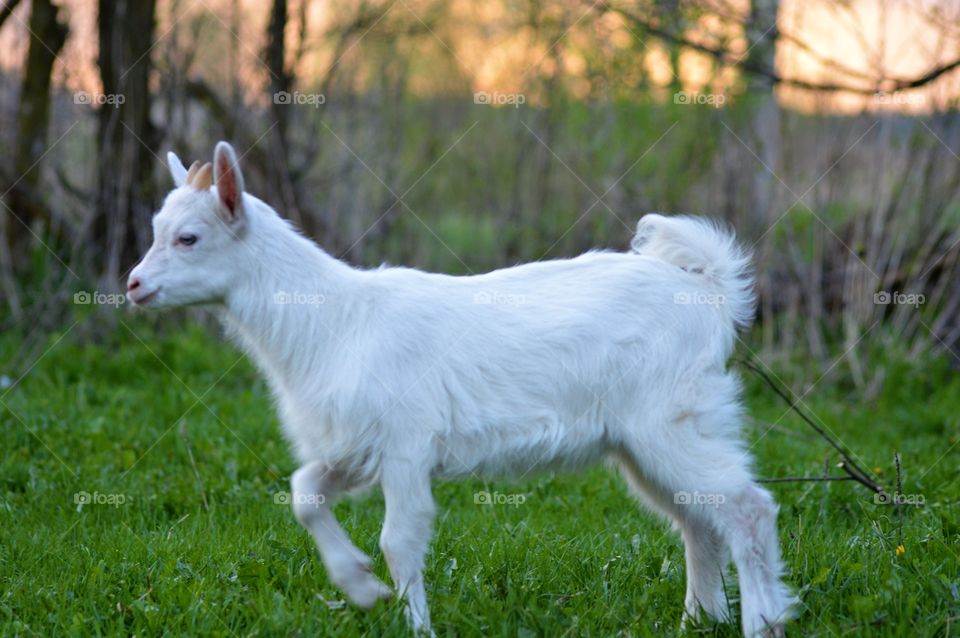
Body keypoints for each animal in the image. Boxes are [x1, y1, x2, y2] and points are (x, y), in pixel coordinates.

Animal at [128, 141, 797, 637]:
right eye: (156, 229)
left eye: (188, 238)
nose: (133, 285)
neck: (334, 322)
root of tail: (710, 293)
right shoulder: (355, 447)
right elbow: (304, 493)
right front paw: (360, 585)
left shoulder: (404, 445)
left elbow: (399, 539)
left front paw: (413, 624)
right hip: (653, 436)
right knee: (698, 520)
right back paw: (699, 618)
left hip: (668, 420)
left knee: (746, 507)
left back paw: (761, 621)